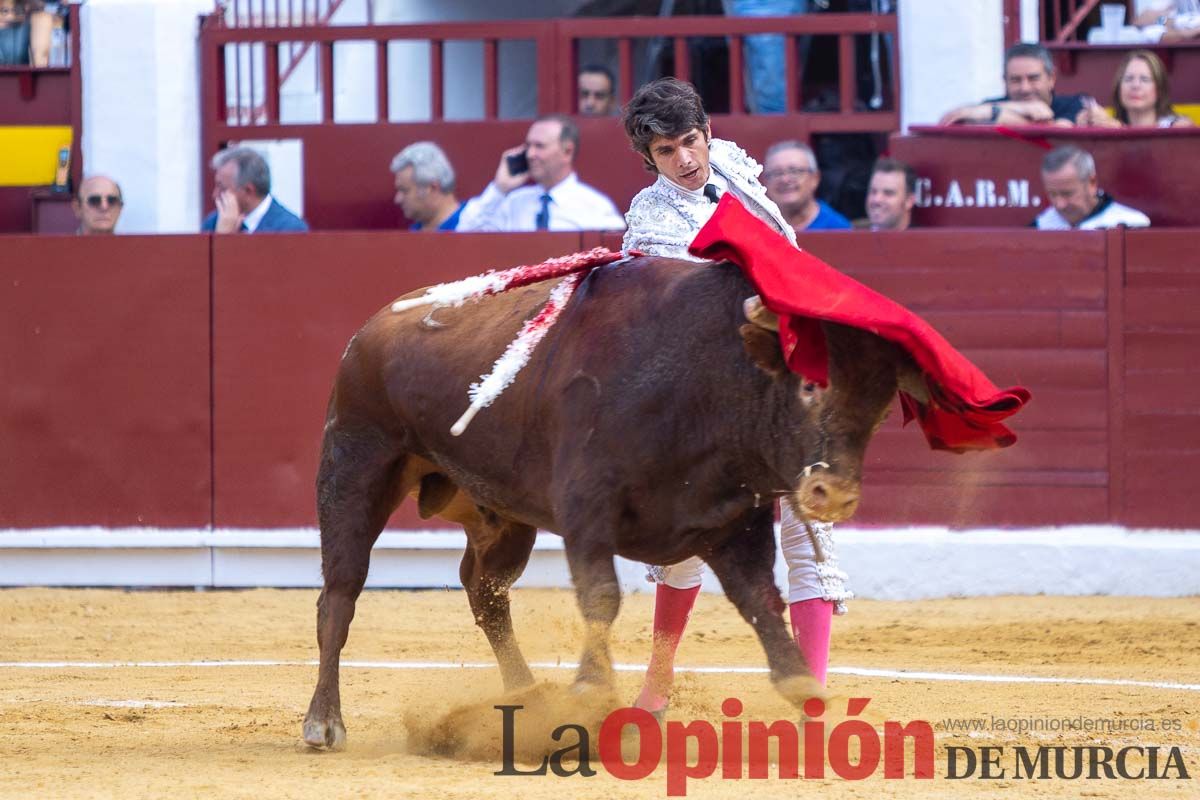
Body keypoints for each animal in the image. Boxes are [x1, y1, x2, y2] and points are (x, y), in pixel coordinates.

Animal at [302, 257, 916, 753]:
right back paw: (324, 723)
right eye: (810, 386)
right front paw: (591, 696)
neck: (703, 372)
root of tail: (373, 325)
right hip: (356, 466)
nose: (834, 494)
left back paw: (526, 696)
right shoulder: (586, 513)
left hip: (500, 516)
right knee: (341, 592)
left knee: (485, 592)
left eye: (882, 407)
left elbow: (762, 602)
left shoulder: (734, 524)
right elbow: (602, 596)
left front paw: (808, 697)